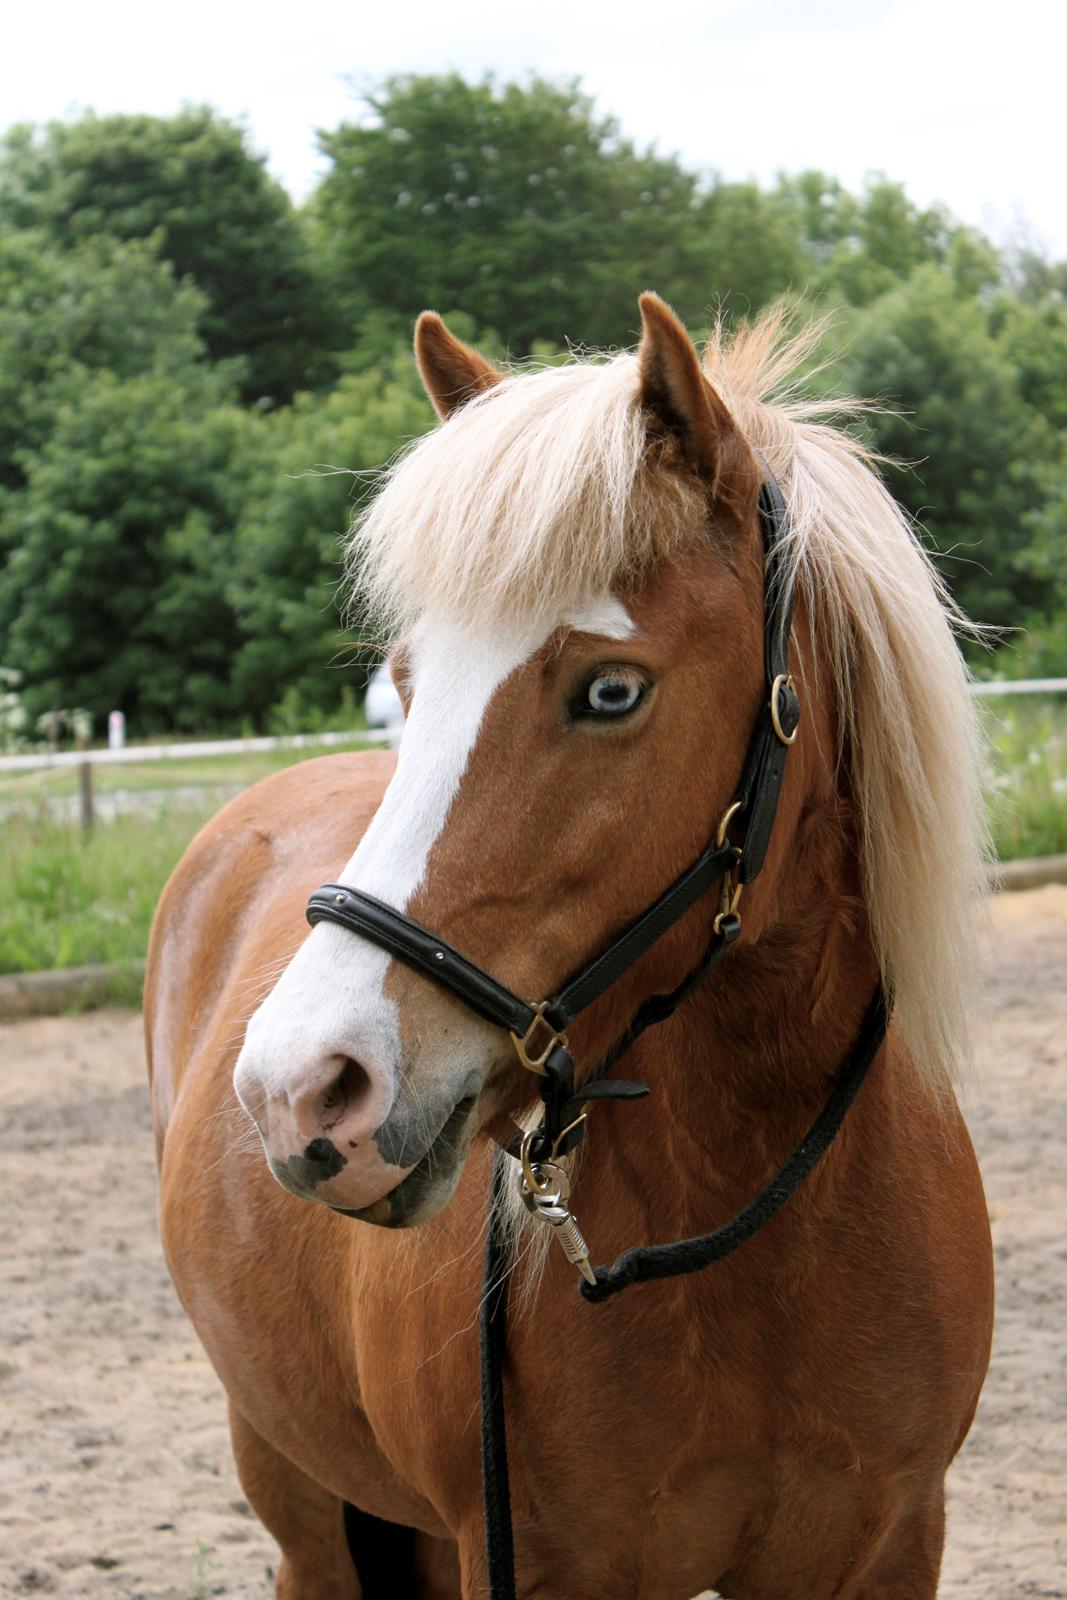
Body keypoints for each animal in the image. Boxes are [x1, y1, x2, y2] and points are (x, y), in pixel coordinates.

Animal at [146, 300, 998, 1600]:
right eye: (406, 683)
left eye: (609, 690)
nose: (300, 1088)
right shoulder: (528, 1561)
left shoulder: (886, 1541)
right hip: (298, 1494)